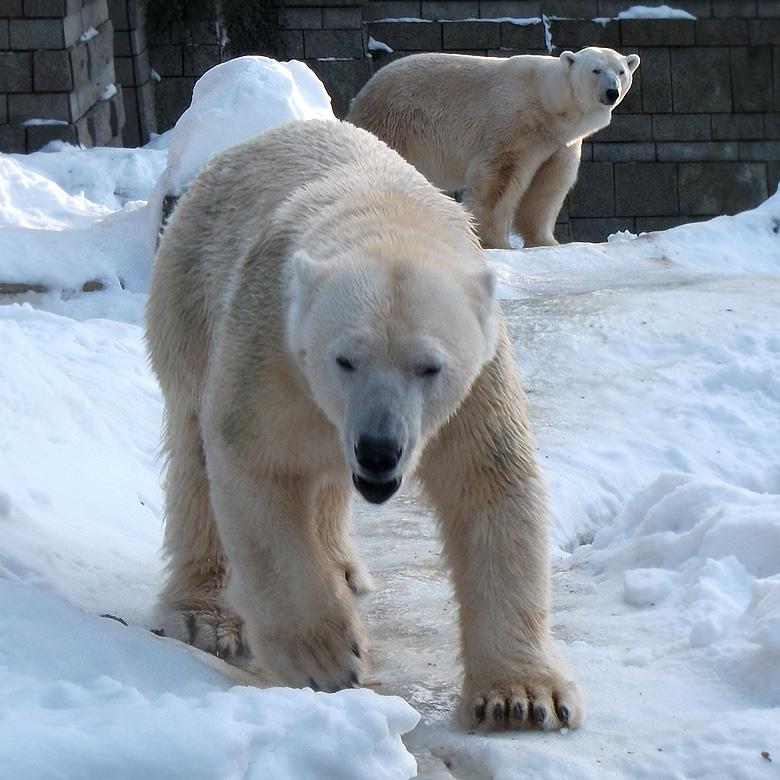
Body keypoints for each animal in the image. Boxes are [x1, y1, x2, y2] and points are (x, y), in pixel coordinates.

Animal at [148, 117, 584, 732]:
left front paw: (521, 696)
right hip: (191, 298)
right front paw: (327, 656)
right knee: (194, 453)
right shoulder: (271, 348)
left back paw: (343, 566)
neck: (386, 219)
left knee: (325, 478)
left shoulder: (477, 380)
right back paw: (205, 615)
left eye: (430, 366)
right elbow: (256, 466)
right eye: (345, 359)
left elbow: (488, 483)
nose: (380, 449)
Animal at [348, 48, 640, 247]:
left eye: (621, 71)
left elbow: (548, 186)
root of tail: (364, 91)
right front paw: (495, 242)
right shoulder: (515, 124)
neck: (548, 104)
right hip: (396, 125)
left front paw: (546, 241)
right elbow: (499, 179)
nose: (611, 92)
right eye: (595, 70)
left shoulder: (557, 143)